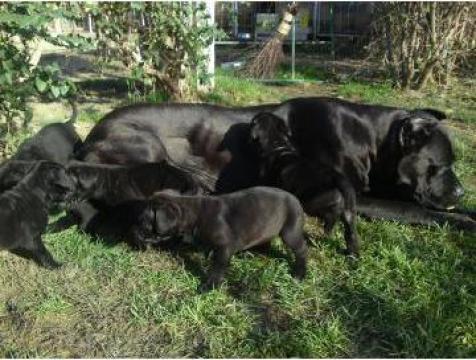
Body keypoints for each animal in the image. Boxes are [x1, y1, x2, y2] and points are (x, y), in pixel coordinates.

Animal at [74, 98, 468, 228]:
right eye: (439, 166)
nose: (462, 192)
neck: (373, 142)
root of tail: (90, 134)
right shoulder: (358, 197)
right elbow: (420, 211)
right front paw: (464, 220)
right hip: (147, 147)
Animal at [141, 186, 306, 292]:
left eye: (146, 221)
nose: (138, 235)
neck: (193, 212)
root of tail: (297, 200)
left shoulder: (224, 247)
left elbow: (218, 267)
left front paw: (210, 286)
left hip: (290, 232)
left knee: (302, 249)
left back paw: (300, 273)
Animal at [249, 112, 356, 256]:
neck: (277, 143)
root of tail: (338, 179)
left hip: (312, 202)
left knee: (330, 216)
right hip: (348, 211)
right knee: (348, 229)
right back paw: (350, 252)